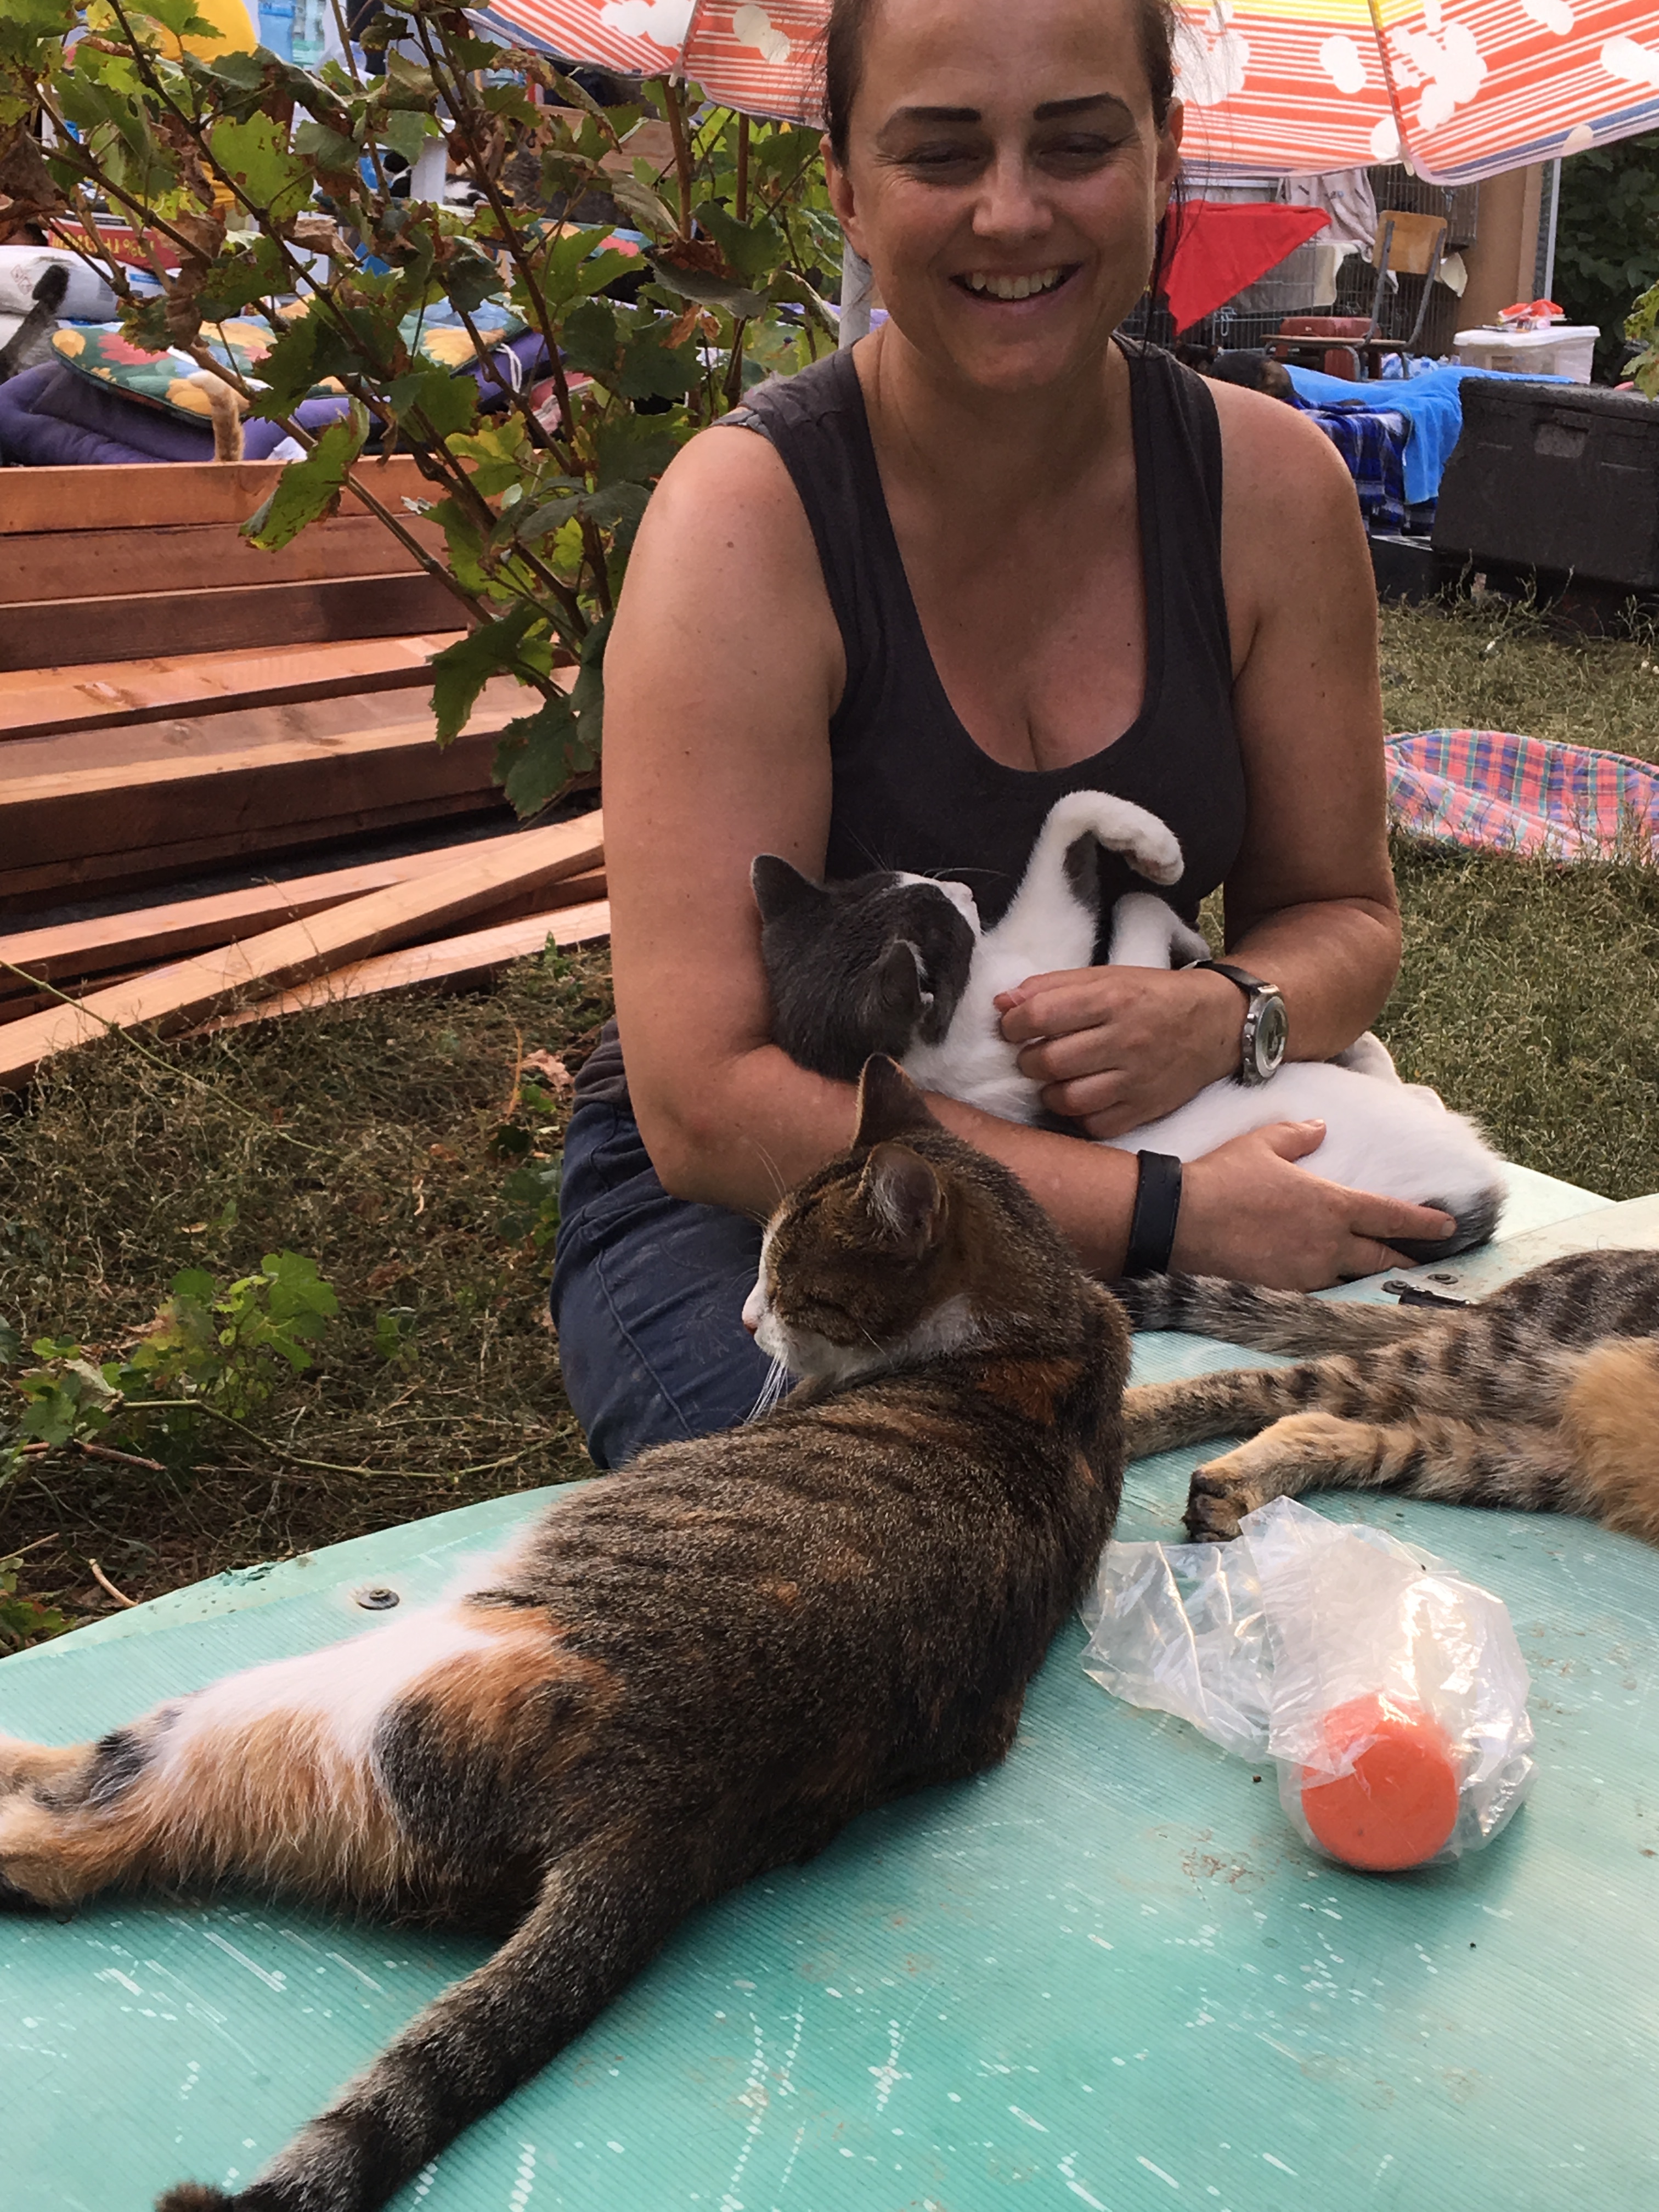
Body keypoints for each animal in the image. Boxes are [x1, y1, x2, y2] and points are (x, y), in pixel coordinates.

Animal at [0, 1057, 1130, 2212]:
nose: (743, 1315)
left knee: (81, 1825)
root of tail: (655, 1816)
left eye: (784, 1278)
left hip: (324, 1692)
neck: (1035, 1323)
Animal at [754, 790, 1506, 1263]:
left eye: (915, 882)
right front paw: (1168, 870)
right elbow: (1130, 908)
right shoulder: (1054, 984)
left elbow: (1073, 831)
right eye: (947, 924)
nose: (964, 892)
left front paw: (1169, 891)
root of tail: (1480, 1189)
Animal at [1116, 1250, 1659, 1547]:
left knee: (1326, 1425)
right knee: (1266, 1383)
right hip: (1491, 1364)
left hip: (1530, 1464)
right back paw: (1121, 1423)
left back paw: (1239, 1486)